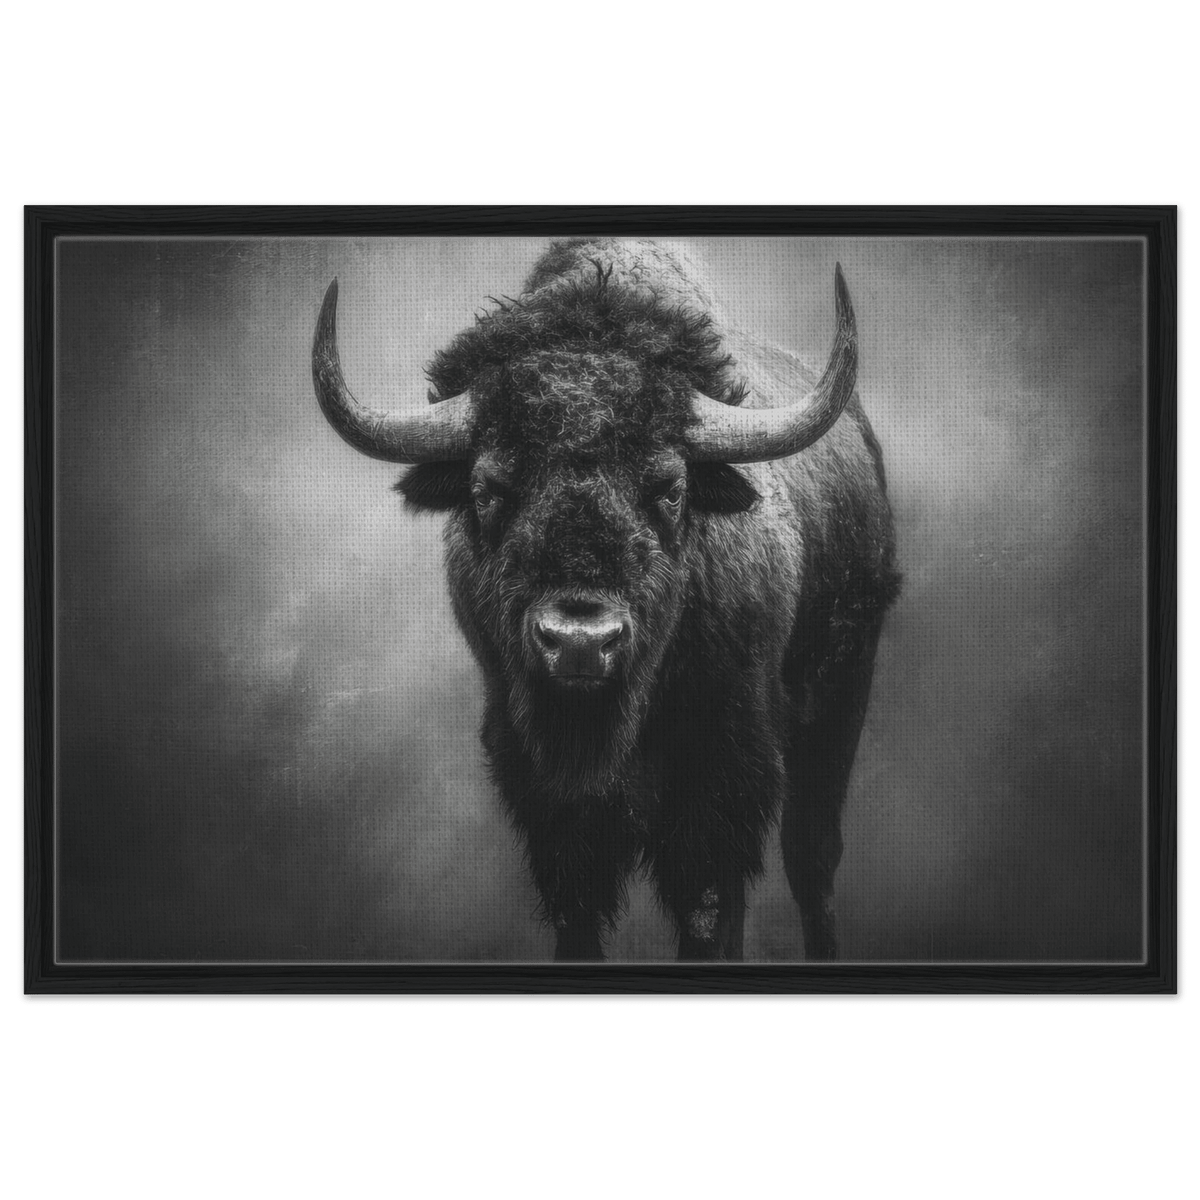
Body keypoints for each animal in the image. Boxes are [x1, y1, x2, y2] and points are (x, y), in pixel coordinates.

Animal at [311, 238, 900, 963]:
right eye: (488, 489)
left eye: (670, 486)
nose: (580, 642)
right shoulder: (544, 795)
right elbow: (579, 910)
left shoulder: (721, 779)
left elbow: (707, 905)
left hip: (838, 701)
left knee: (811, 859)